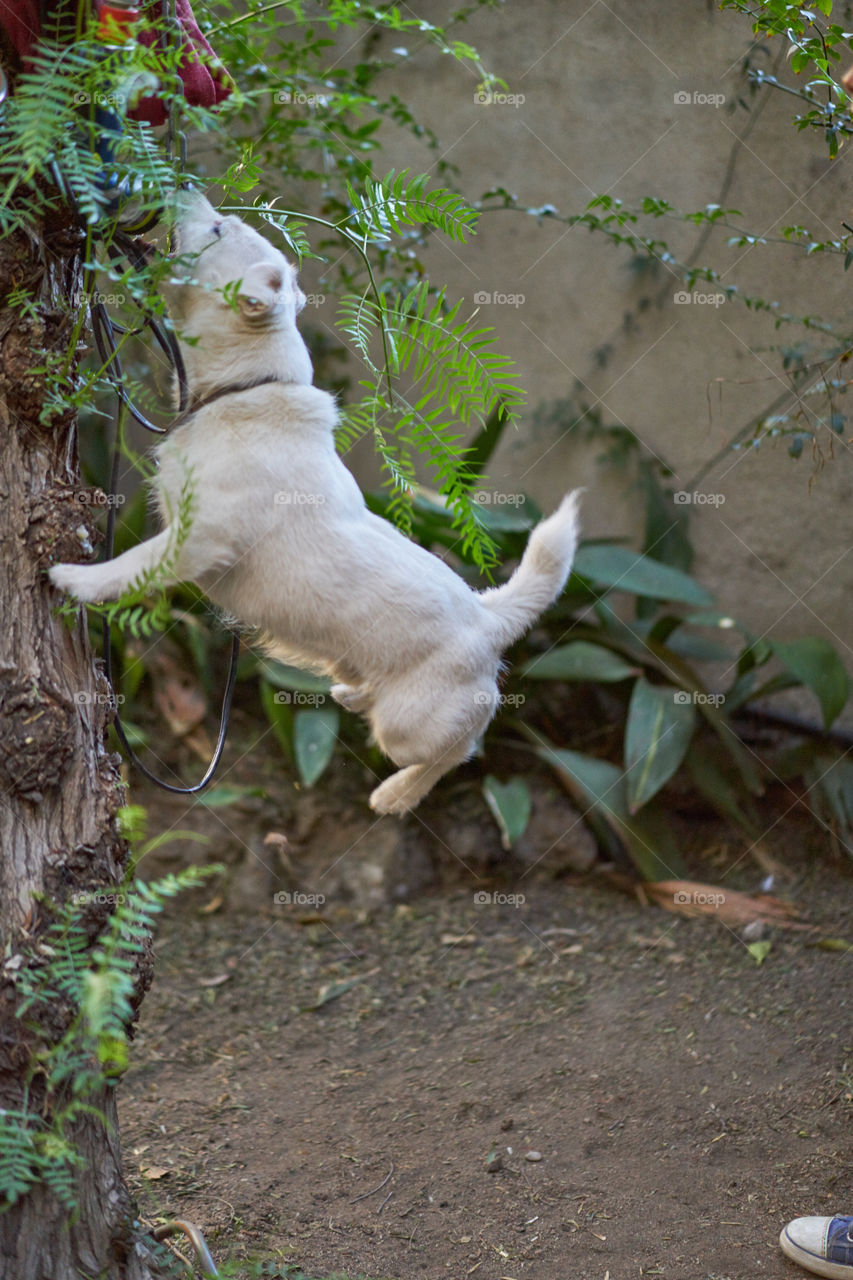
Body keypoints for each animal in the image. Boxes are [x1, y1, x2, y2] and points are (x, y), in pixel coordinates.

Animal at [49, 192, 581, 808]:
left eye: (217, 228)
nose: (182, 188)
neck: (247, 388)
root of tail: (488, 617)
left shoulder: (198, 538)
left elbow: (130, 565)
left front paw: (76, 579)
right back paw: (353, 693)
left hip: (409, 728)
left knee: (456, 753)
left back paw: (396, 794)